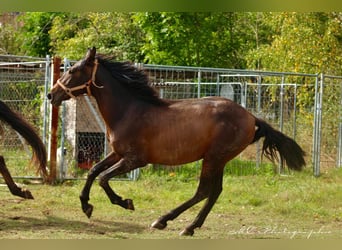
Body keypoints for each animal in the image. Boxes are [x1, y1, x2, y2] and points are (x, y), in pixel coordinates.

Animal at [47, 47, 304, 236]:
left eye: (74, 70)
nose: (51, 95)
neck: (129, 110)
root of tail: (251, 117)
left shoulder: (135, 160)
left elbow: (103, 178)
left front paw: (125, 202)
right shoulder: (118, 154)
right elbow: (93, 172)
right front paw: (86, 206)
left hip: (214, 158)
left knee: (203, 191)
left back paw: (168, 222)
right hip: (219, 160)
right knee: (215, 191)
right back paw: (188, 226)